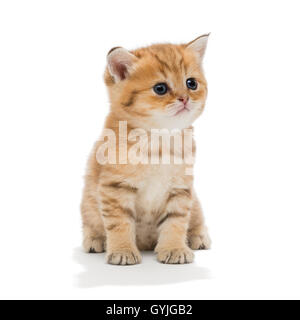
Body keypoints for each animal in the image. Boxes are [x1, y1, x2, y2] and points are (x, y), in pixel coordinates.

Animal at [80, 35, 211, 264]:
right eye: (160, 88)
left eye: (191, 83)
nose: (185, 98)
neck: (158, 141)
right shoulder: (115, 187)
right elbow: (119, 223)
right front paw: (123, 250)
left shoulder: (181, 188)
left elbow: (176, 222)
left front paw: (175, 248)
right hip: (87, 202)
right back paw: (95, 240)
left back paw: (198, 237)